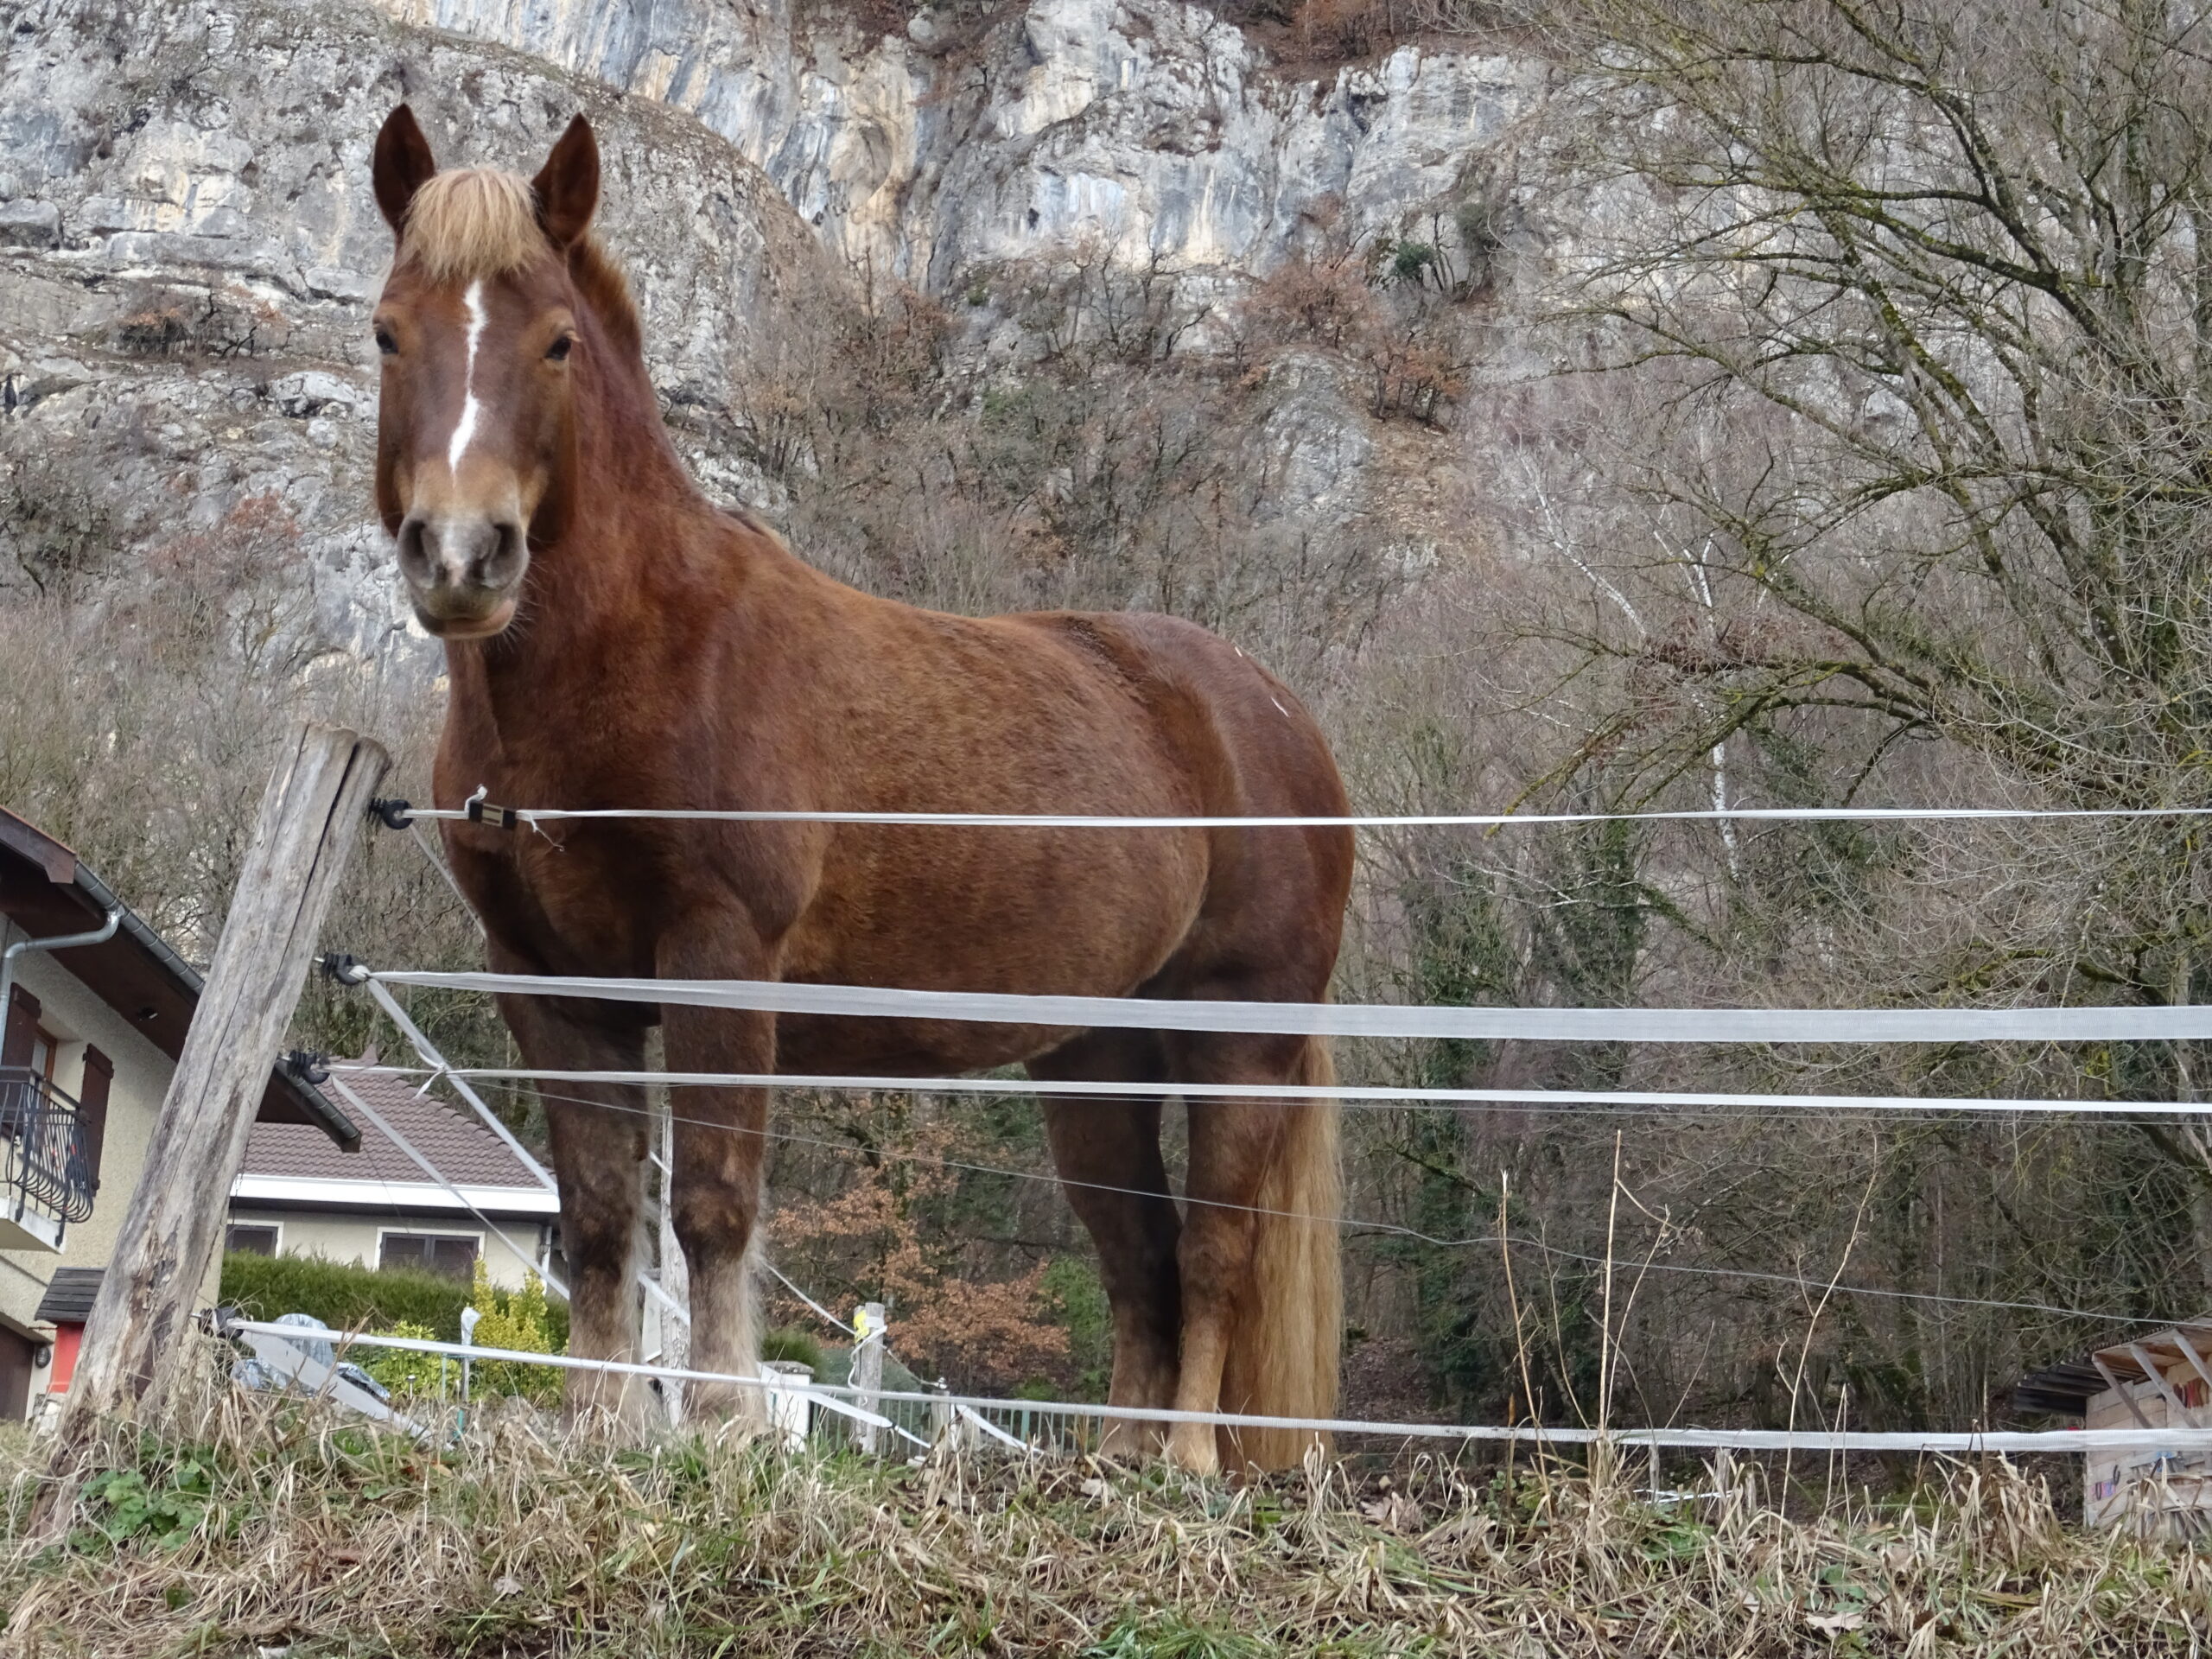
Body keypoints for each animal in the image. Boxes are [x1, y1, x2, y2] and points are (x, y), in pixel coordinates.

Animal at [365, 105, 1354, 1474]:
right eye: (387, 330)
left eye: (556, 341)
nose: (463, 558)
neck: (645, 654)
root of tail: (1273, 716)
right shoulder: (555, 985)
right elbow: (605, 1213)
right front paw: (600, 1427)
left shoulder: (721, 959)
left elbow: (714, 1202)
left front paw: (722, 1424)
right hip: (1093, 1060)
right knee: (1137, 1256)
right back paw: (1116, 1463)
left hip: (1238, 1042)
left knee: (1213, 1250)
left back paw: (1189, 1464)